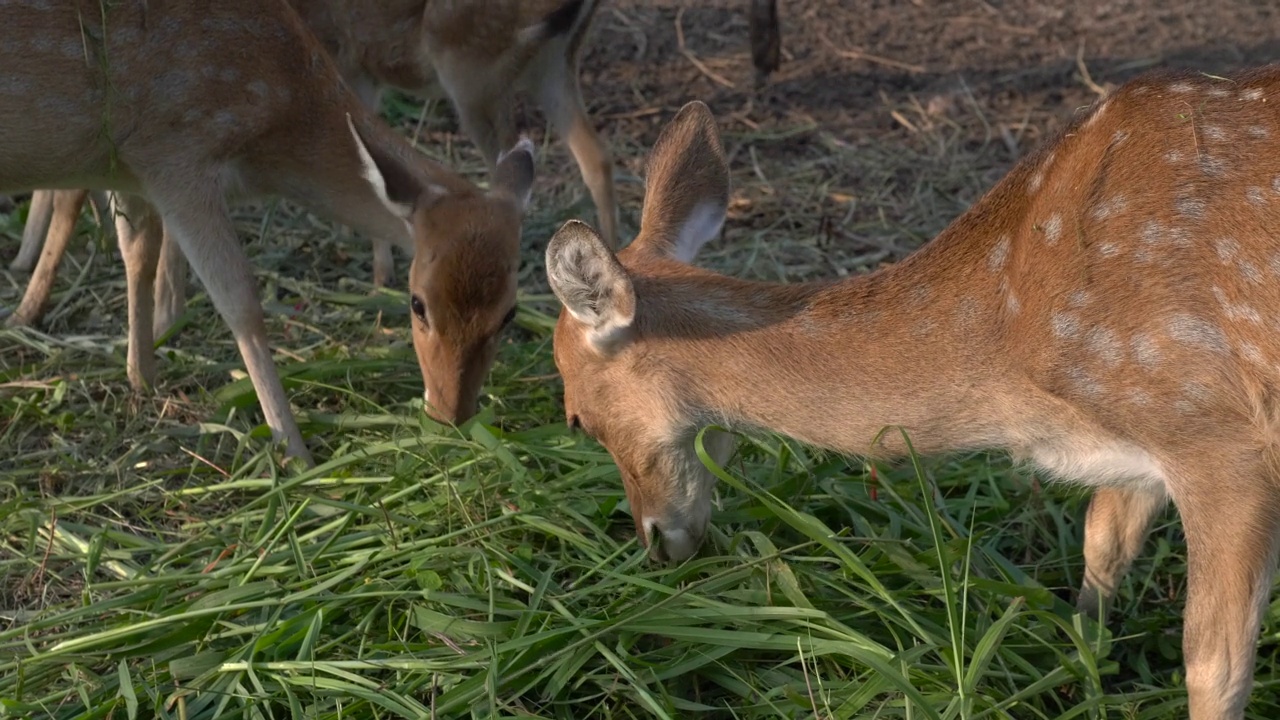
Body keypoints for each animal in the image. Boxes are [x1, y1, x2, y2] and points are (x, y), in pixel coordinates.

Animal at [547, 70, 1280, 712]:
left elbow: (1214, 668)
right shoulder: (1144, 444)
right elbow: (1102, 547)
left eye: (577, 419)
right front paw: (1084, 671)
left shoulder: (1209, 427)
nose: (657, 541)